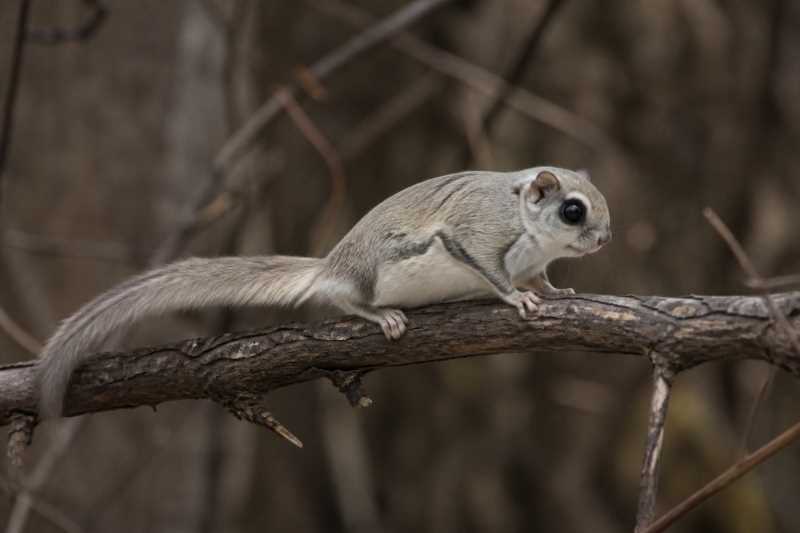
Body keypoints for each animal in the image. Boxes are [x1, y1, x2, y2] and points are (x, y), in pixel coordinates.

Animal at [37, 166, 611, 417]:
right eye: (572, 210)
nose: (605, 239)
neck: (532, 232)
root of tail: (330, 265)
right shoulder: (477, 234)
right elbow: (492, 272)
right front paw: (515, 299)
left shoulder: (534, 262)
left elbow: (541, 279)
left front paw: (557, 289)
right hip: (369, 273)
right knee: (342, 297)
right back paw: (379, 316)